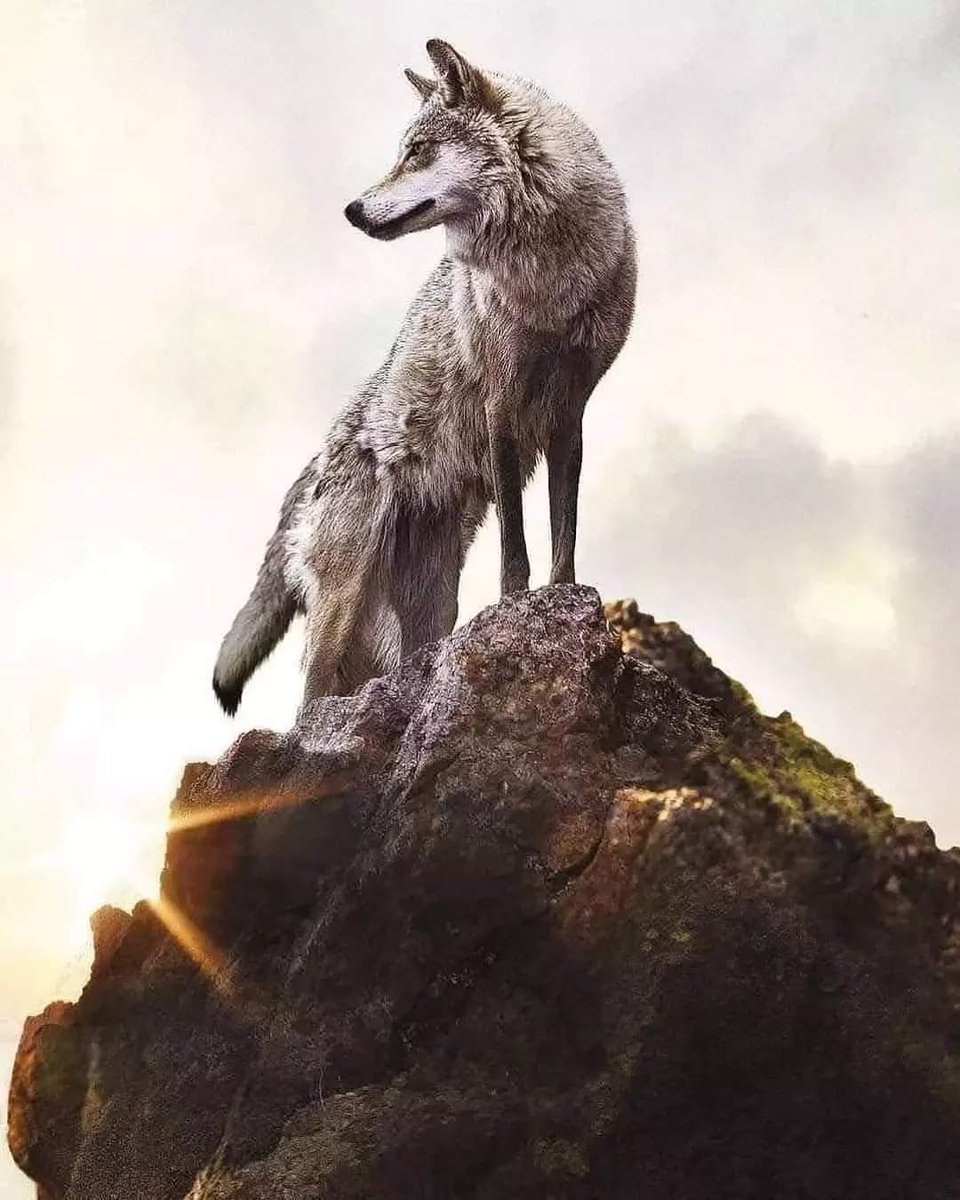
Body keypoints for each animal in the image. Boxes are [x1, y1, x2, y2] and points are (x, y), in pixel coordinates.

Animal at [212, 38, 636, 715]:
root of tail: (313, 466)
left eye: (416, 152)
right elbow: (516, 547)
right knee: (307, 700)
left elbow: (561, 535)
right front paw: (516, 609)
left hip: (431, 605)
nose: (352, 210)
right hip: (344, 604)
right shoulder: (501, 406)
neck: (546, 278)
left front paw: (564, 605)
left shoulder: (570, 413)